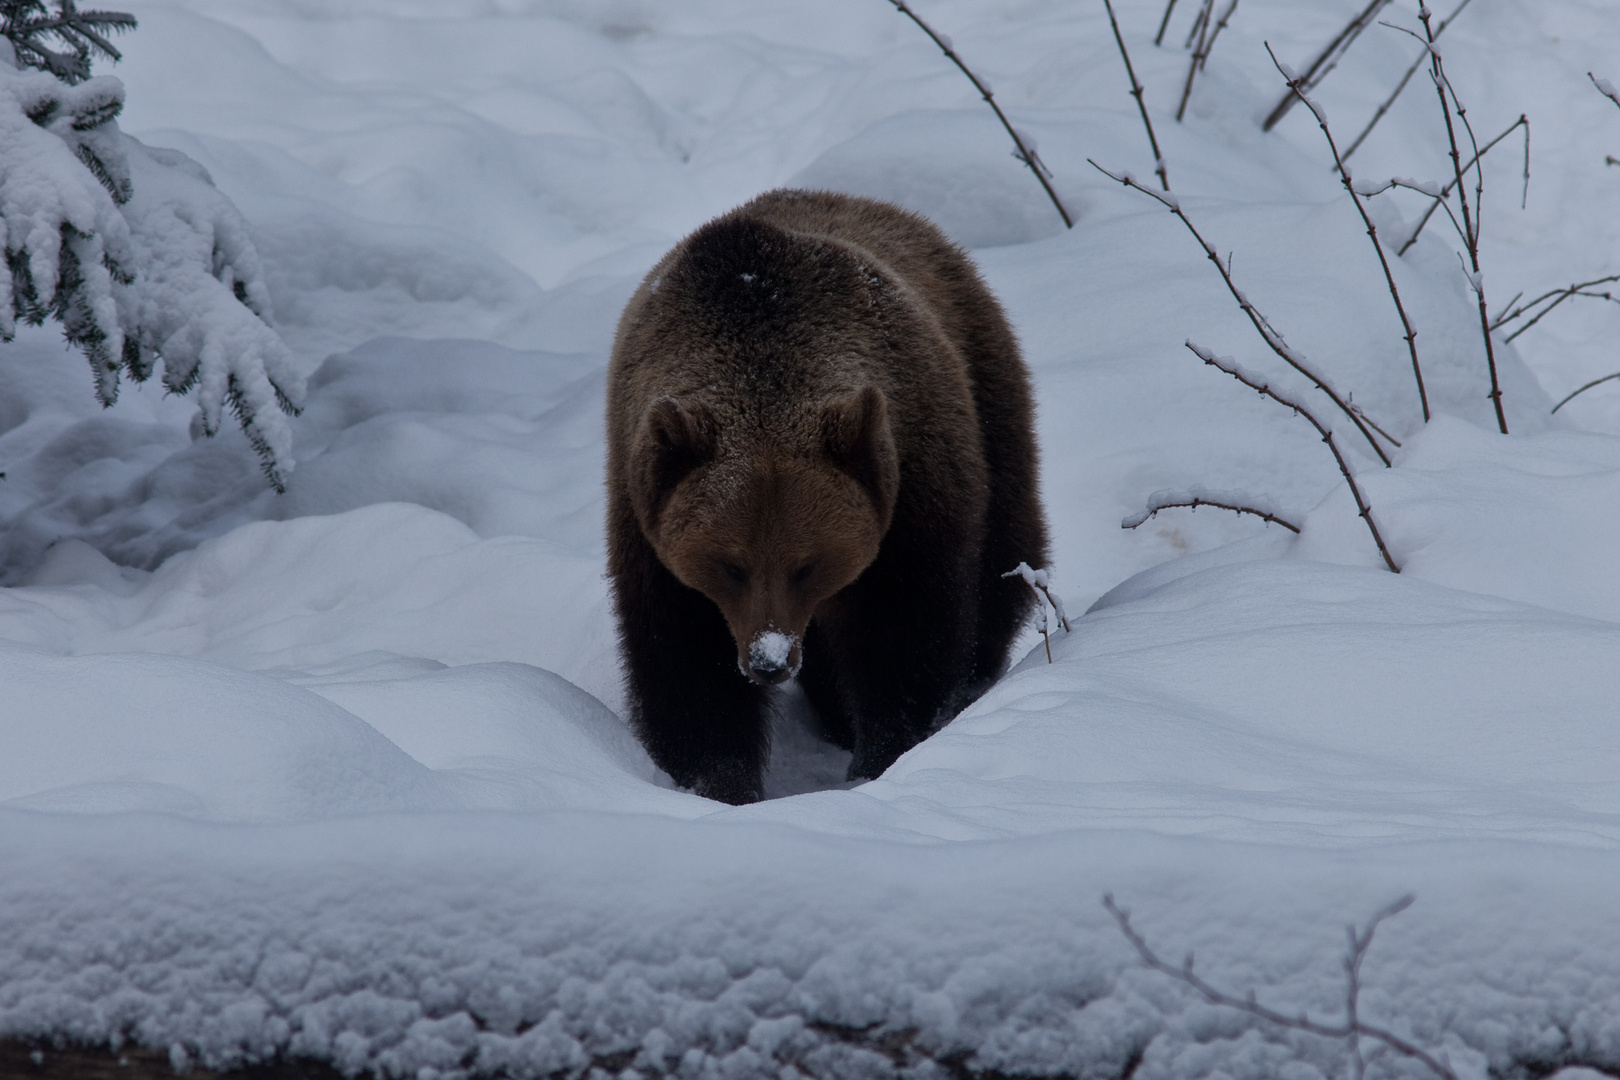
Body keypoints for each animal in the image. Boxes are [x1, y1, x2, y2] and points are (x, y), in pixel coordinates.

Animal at [609, 190, 1049, 806]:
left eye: (807, 563)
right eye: (730, 564)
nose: (769, 661)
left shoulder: (910, 486)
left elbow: (905, 631)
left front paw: (884, 754)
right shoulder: (648, 519)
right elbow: (683, 660)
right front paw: (719, 780)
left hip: (989, 395)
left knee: (1004, 556)